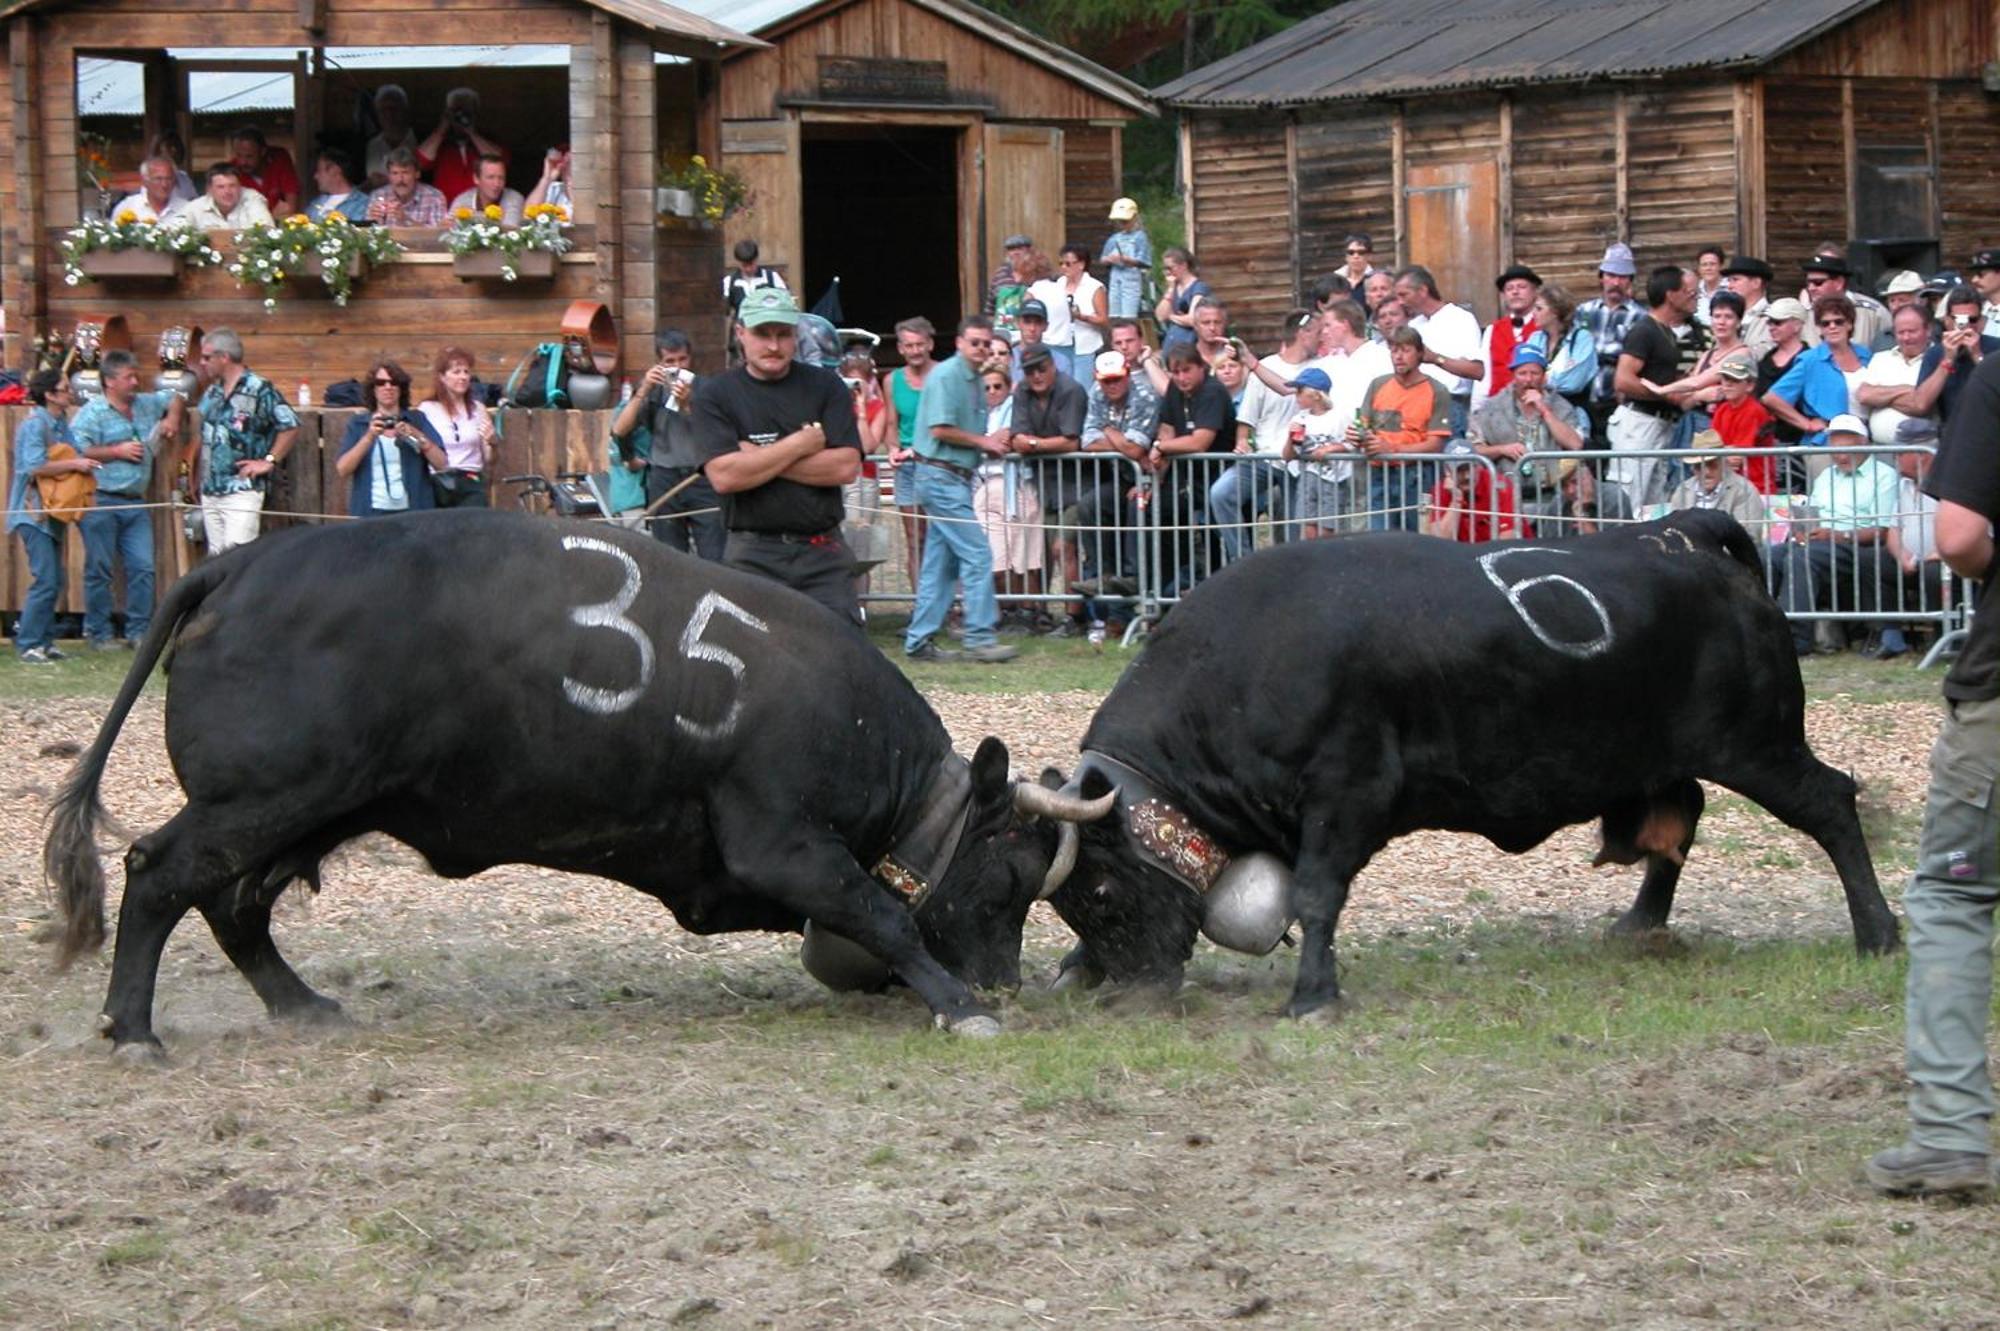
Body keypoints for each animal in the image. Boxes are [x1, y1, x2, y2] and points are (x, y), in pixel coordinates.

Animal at [43, 507, 1112, 1047]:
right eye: (1010, 880)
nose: (1006, 980)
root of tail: (237, 564)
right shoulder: (781, 841)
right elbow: (881, 911)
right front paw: (961, 1005)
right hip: (260, 800)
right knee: (159, 873)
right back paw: (132, 1026)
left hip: (308, 807)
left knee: (233, 904)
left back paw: (299, 1003)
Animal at [952, 507, 1904, 1015]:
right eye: (1074, 901)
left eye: (1105, 892)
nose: (1136, 992)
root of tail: (1684, 534)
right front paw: (1075, 969)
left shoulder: (1347, 794)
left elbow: (1317, 895)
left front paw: (1313, 994)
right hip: (1661, 756)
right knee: (1681, 819)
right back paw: (1640, 922)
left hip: (1760, 743)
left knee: (1832, 803)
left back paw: (1879, 932)